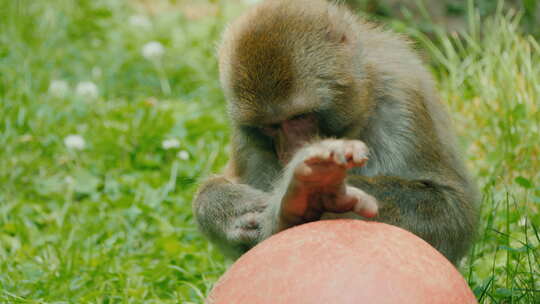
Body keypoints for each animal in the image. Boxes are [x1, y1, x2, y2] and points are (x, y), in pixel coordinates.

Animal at [192, 0, 478, 264]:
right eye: (270, 126)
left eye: (300, 116)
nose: (292, 150)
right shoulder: (247, 138)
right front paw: (230, 208)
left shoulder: (402, 98)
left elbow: (450, 211)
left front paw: (315, 190)